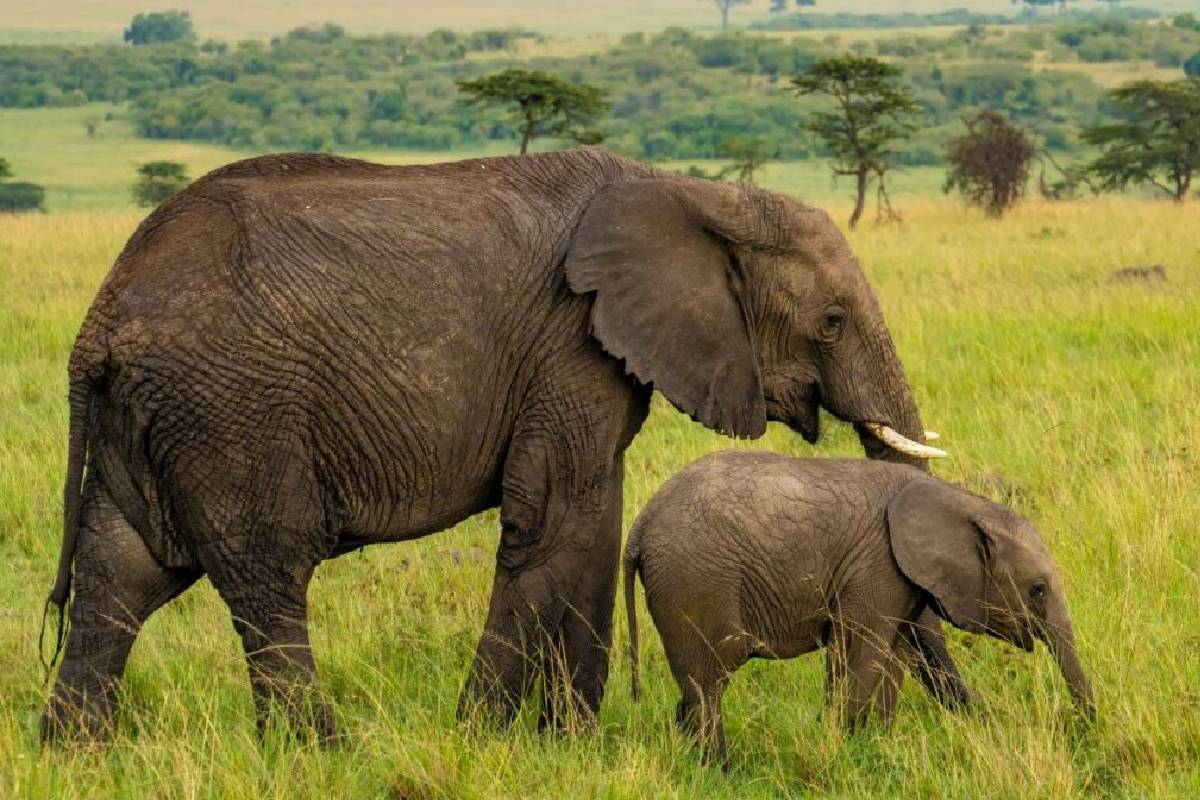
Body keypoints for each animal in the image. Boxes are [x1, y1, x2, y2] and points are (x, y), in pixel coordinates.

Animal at [41, 147, 954, 741]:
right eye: (831, 321)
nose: (958, 713)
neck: (690, 193)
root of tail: (102, 316)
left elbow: (587, 515)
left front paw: (554, 740)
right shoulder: (571, 342)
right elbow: (562, 516)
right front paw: (519, 738)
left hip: (157, 415)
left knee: (120, 572)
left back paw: (77, 752)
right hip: (233, 409)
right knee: (265, 571)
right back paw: (321, 752)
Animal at [623, 452, 1095, 768]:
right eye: (1037, 590)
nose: (1081, 728)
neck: (962, 501)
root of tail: (640, 526)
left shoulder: (904, 580)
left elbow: (898, 656)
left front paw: (875, 745)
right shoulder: (877, 568)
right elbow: (862, 653)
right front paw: (844, 744)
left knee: (697, 686)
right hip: (697, 582)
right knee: (710, 681)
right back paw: (722, 770)